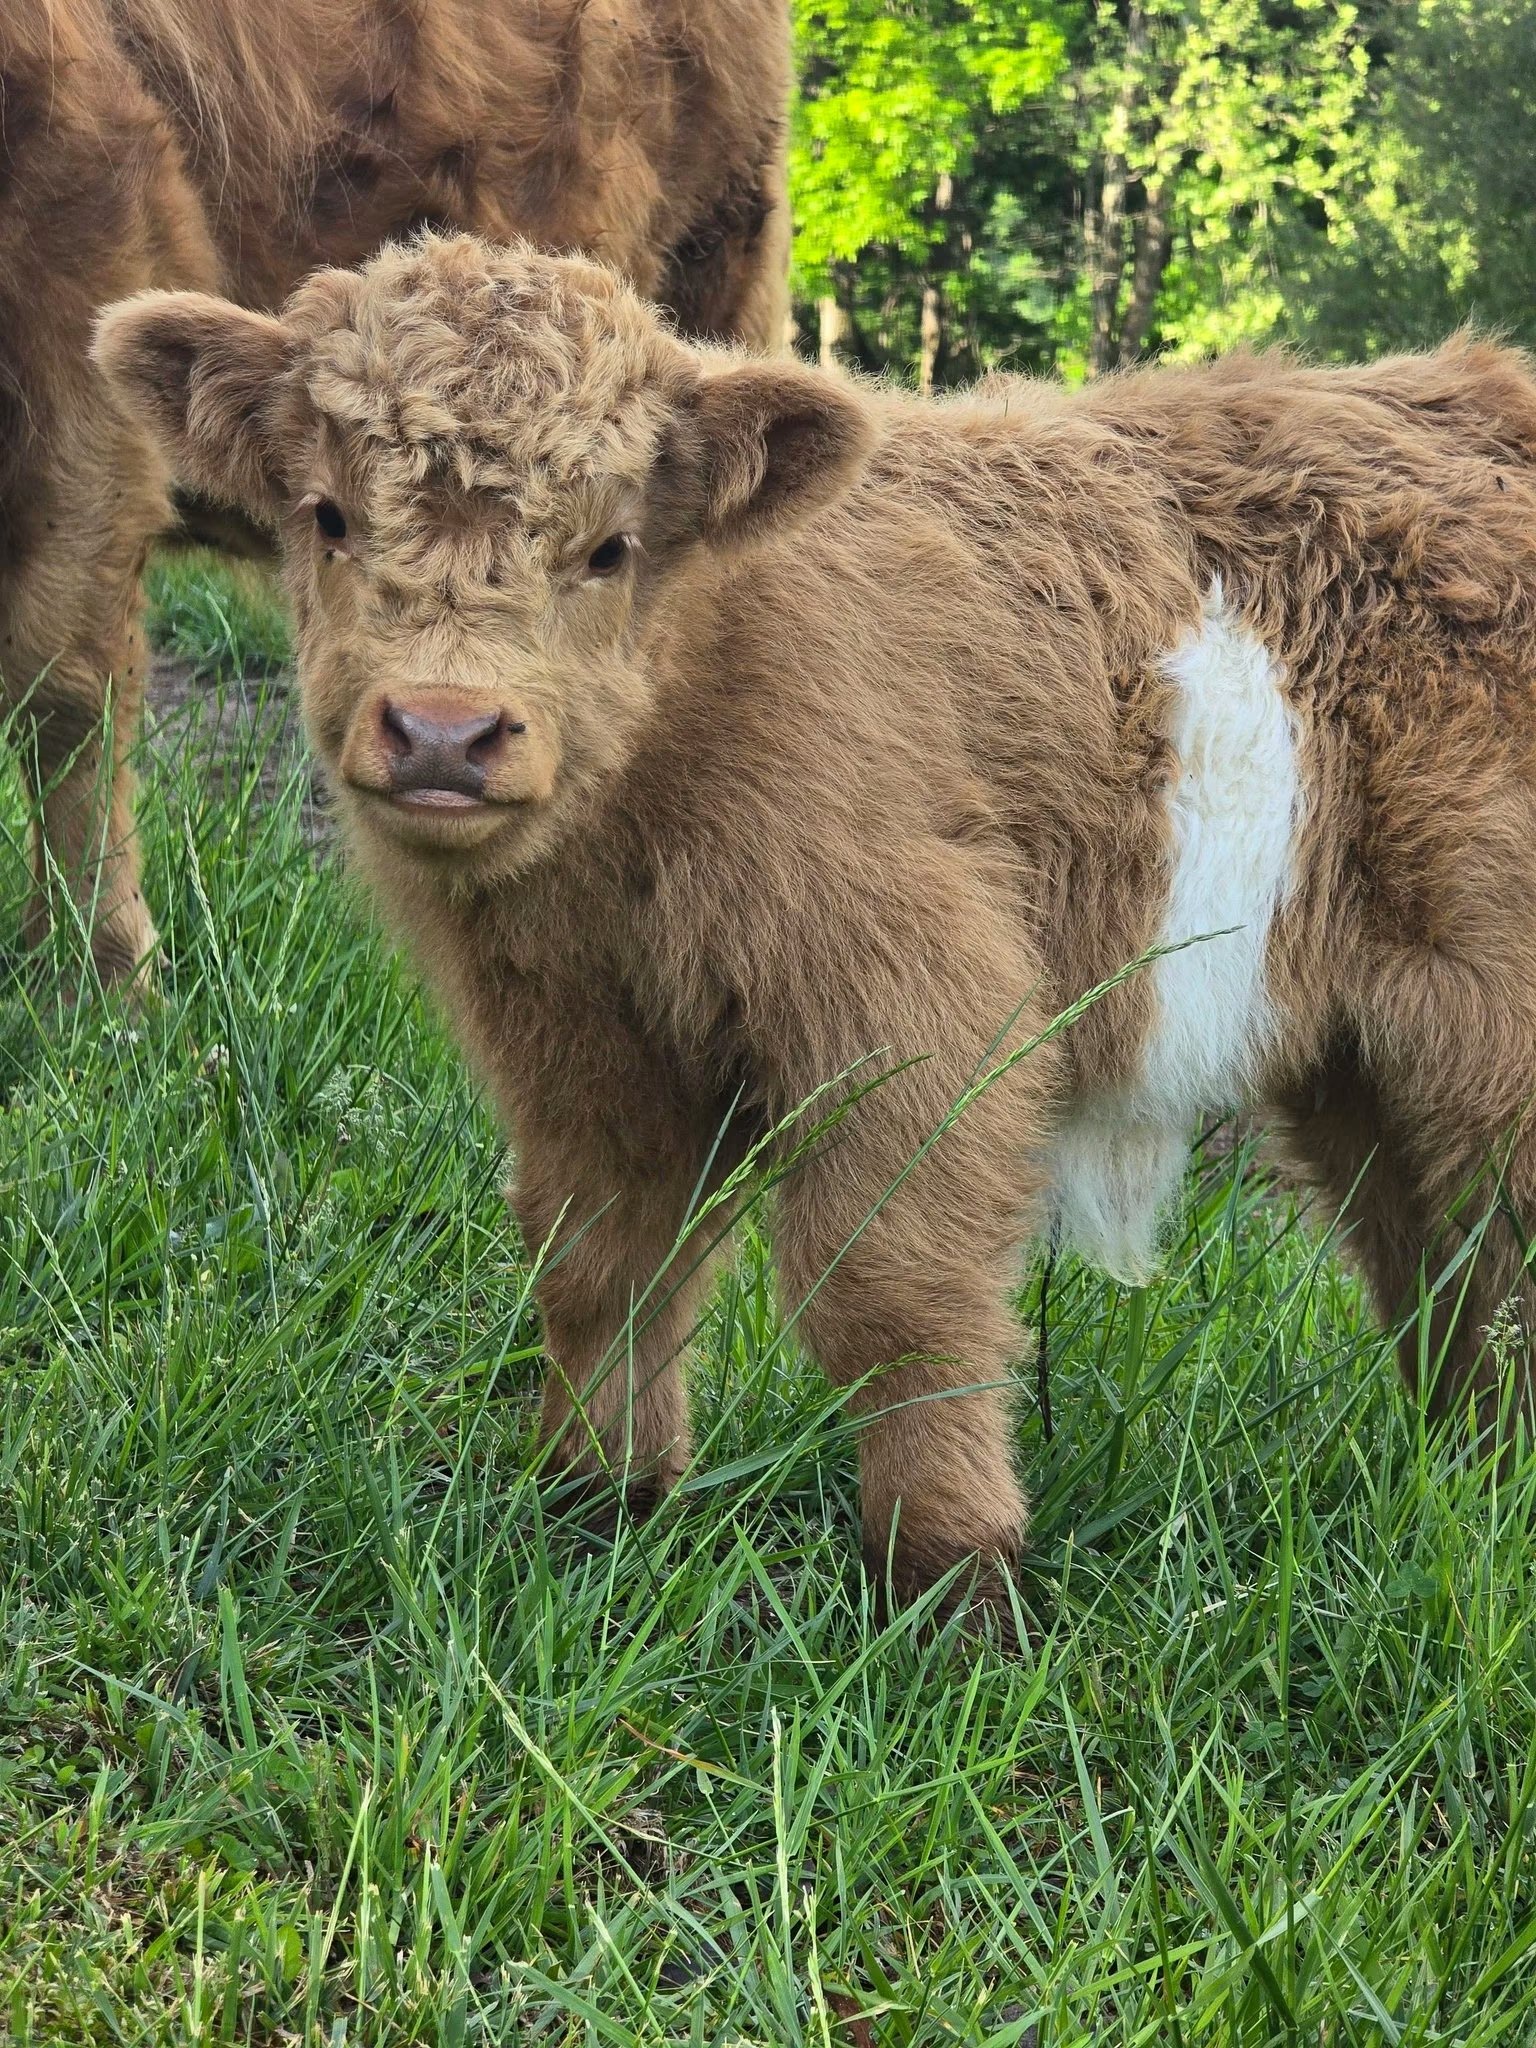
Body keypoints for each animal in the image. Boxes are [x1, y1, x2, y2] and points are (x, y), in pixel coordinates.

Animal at [94, 233, 1536, 1630]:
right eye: (329, 516)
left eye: (610, 546)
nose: (444, 730)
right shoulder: (575, 1037)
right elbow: (602, 1253)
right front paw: (600, 1501)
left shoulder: (916, 996)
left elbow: (892, 1291)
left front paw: (952, 1580)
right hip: (1368, 1062)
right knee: (1439, 1256)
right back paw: (1465, 1479)